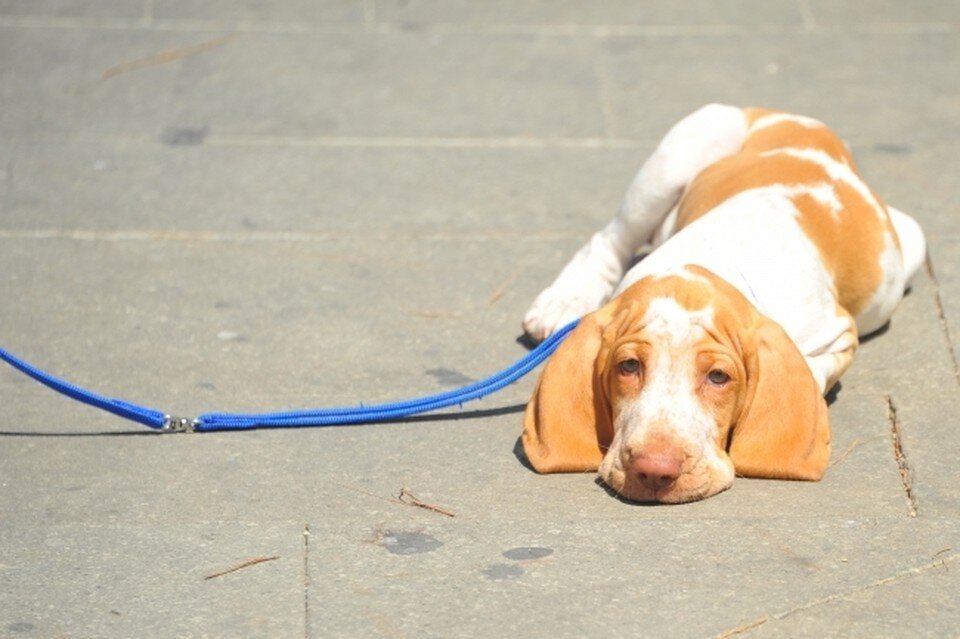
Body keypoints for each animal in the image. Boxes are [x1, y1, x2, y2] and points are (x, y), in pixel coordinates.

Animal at [520, 104, 928, 504]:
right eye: (628, 366)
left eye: (718, 377)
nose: (654, 470)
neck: (707, 262)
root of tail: (784, 114)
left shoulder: (838, 333)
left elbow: (809, 371)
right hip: (686, 147)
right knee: (610, 240)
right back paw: (563, 302)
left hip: (914, 239)